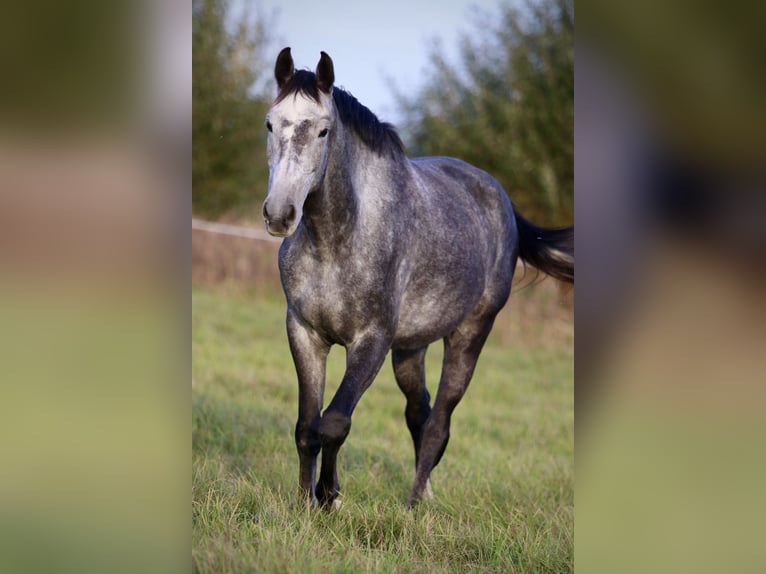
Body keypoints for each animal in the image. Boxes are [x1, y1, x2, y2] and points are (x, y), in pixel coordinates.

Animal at [260, 48, 572, 508]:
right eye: (270, 123)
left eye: (323, 130)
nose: (280, 214)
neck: (338, 241)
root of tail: (502, 200)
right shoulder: (304, 333)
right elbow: (306, 428)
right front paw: (304, 504)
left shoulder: (371, 341)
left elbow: (334, 422)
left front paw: (330, 497)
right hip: (411, 347)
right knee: (419, 414)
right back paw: (422, 495)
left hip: (469, 335)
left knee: (439, 422)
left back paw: (413, 506)